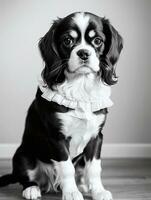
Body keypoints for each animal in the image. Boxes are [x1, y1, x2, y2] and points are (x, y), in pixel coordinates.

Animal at [0, 11, 122, 199]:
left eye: (97, 41)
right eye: (67, 40)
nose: (83, 53)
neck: (80, 86)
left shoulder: (96, 137)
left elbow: (94, 168)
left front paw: (98, 191)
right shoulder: (57, 137)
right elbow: (66, 168)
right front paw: (71, 192)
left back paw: (83, 186)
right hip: (22, 155)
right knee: (26, 178)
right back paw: (32, 189)